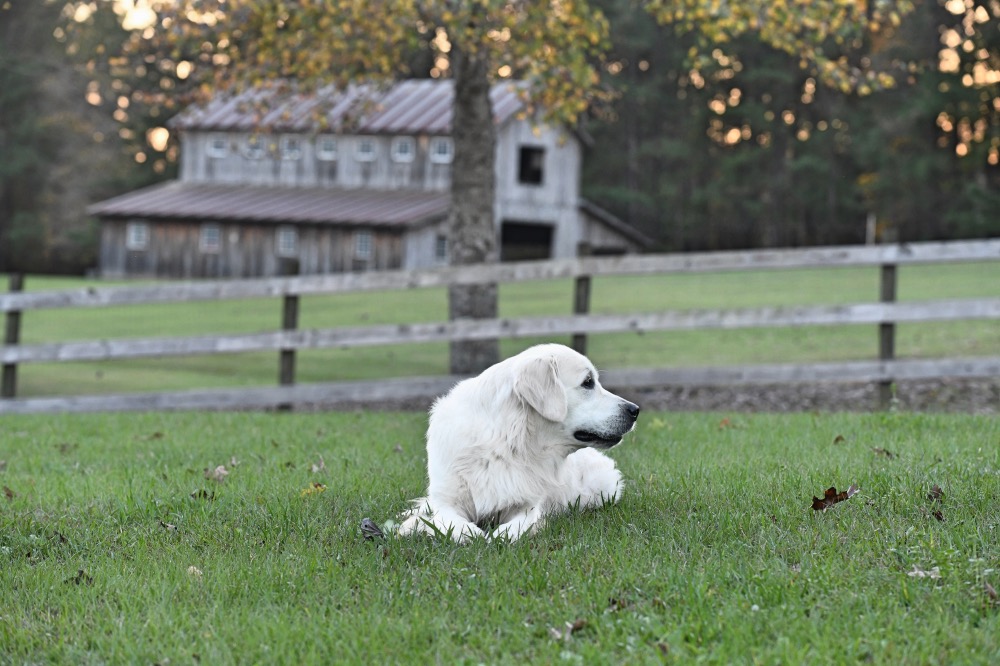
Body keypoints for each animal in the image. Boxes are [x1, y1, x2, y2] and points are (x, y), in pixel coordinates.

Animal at [394, 342, 636, 540]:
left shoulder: (527, 506)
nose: (635, 410)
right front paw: (468, 533)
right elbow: (451, 523)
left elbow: (515, 528)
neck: (506, 442)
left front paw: (498, 536)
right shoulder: (447, 501)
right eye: (588, 382)